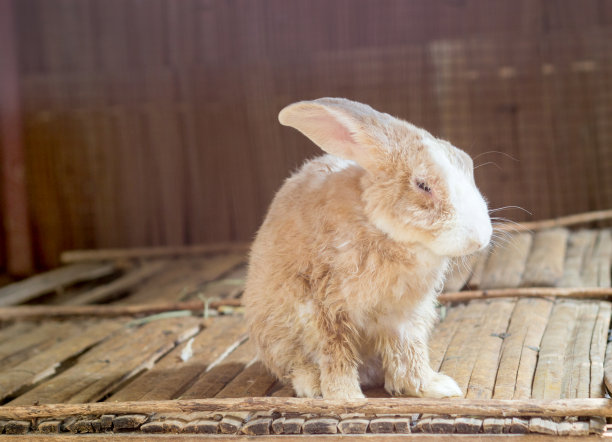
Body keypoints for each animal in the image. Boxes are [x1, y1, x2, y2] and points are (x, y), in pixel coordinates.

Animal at [244, 97, 492, 400]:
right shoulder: (324, 308)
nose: (480, 238)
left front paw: (434, 387)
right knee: (297, 365)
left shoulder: (403, 315)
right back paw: (312, 385)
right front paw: (345, 397)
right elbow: (335, 353)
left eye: (467, 164)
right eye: (423, 185)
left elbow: (409, 350)